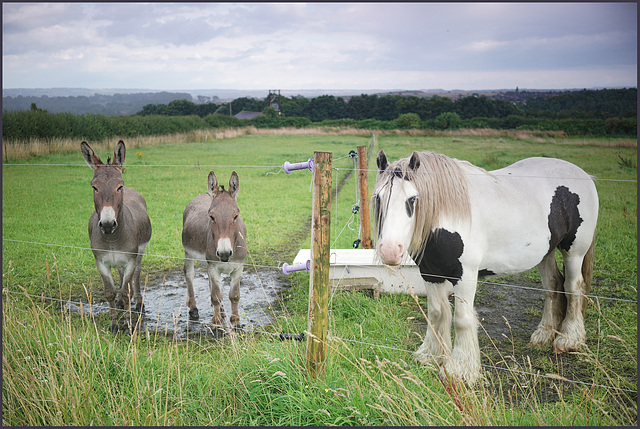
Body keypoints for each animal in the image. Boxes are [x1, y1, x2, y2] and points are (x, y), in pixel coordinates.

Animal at [372, 149, 596, 382]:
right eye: (378, 197)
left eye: (413, 199)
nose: (390, 251)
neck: (448, 216)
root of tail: (584, 175)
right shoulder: (430, 273)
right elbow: (436, 312)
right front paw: (431, 356)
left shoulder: (465, 275)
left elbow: (461, 319)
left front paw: (460, 371)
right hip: (546, 253)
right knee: (553, 285)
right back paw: (544, 335)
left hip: (574, 252)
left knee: (572, 287)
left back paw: (569, 339)